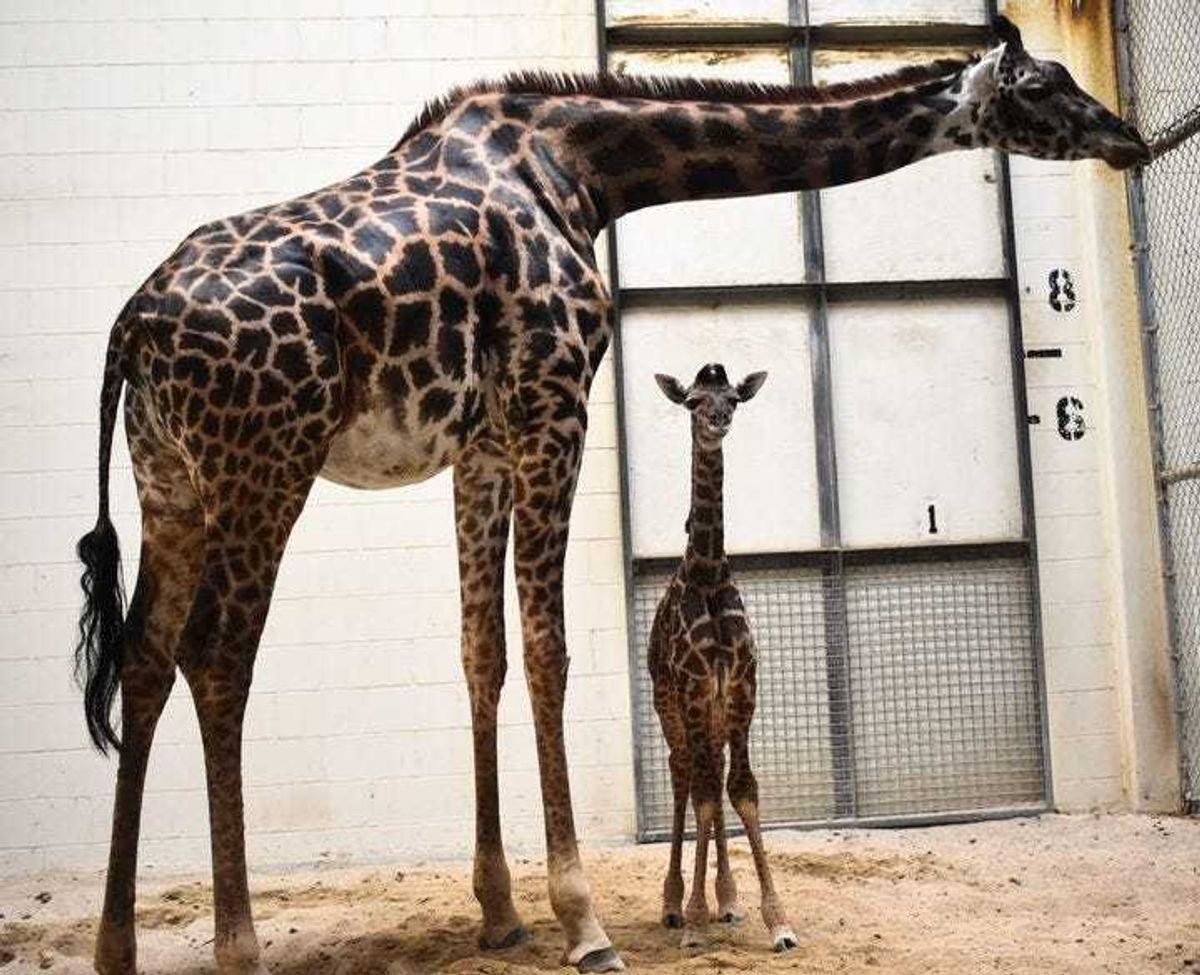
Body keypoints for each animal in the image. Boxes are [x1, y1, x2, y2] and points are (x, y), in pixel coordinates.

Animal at [646, 364, 794, 954]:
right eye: (692, 401)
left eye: (732, 397)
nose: (718, 421)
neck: (707, 572)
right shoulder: (691, 686)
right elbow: (708, 792)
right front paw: (692, 920)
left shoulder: (741, 686)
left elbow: (742, 789)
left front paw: (776, 921)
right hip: (669, 702)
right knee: (685, 773)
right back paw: (673, 904)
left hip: (710, 709)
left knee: (711, 774)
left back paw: (725, 900)